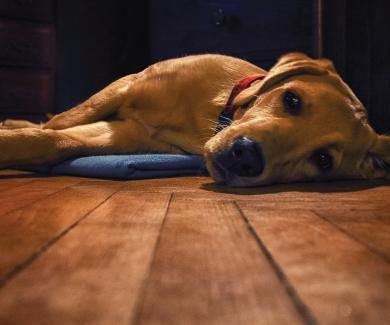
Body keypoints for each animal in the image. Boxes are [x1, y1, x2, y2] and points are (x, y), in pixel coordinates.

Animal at [0, 52, 388, 186]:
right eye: (292, 99)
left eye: (322, 160)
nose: (246, 157)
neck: (208, 114)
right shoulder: (126, 86)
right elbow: (58, 125)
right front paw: (16, 133)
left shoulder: (125, 135)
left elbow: (55, 139)